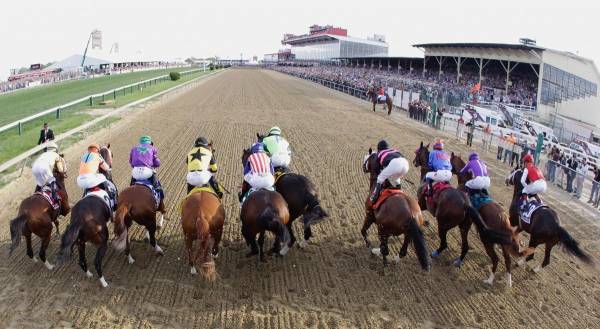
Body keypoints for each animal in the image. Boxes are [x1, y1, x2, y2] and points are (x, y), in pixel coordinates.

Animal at [57, 145, 116, 286]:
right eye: (111, 153)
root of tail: (79, 219)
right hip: (102, 241)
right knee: (97, 262)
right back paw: (104, 282)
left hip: (80, 242)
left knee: (81, 261)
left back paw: (89, 274)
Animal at [452, 152, 524, 286]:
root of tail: (503, 218)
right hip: (504, 242)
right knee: (507, 259)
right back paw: (508, 282)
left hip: (487, 240)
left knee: (495, 258)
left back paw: (489, 280)